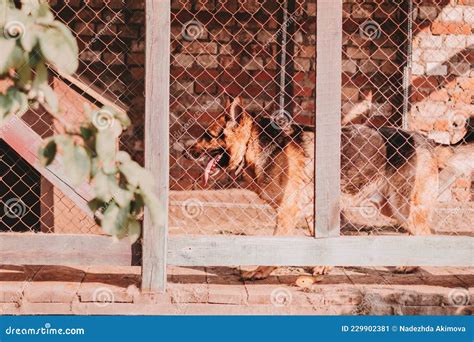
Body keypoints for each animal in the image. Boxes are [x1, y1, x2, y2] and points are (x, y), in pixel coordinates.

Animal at [187, 97, 438, 280]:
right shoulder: (313, 212)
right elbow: (322, 242)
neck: (256, 144)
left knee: (426, 234)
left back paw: (410, 265)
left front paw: (259, 272)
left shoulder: (287, 212)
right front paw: (322, 267)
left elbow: (275, 247)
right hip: (393, 208)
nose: (186, 152)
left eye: (208, 135)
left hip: (403, 206)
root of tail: (423, 138)